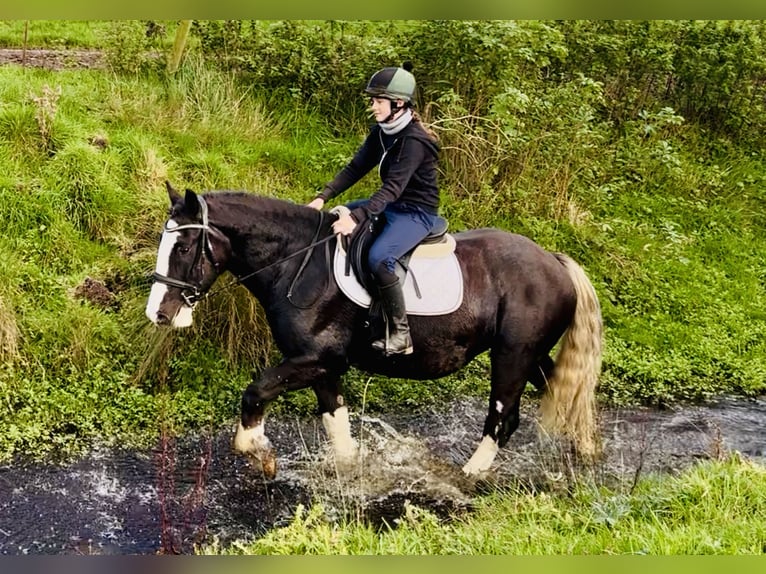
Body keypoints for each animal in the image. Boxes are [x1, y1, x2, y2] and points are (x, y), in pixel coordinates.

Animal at [145, 181, 603, 478]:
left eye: (183, 247)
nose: (159, 315)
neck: (299, 264)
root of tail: (553, 261)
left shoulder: (313, 359)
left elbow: (255, 392)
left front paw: (260, 453)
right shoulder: (321, 367)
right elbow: (337, 424)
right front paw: (350, 470)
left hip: (511, 356)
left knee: (503, 418)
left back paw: (468, 475)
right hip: (531, 355)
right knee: (565, 391)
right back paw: (585, 447)